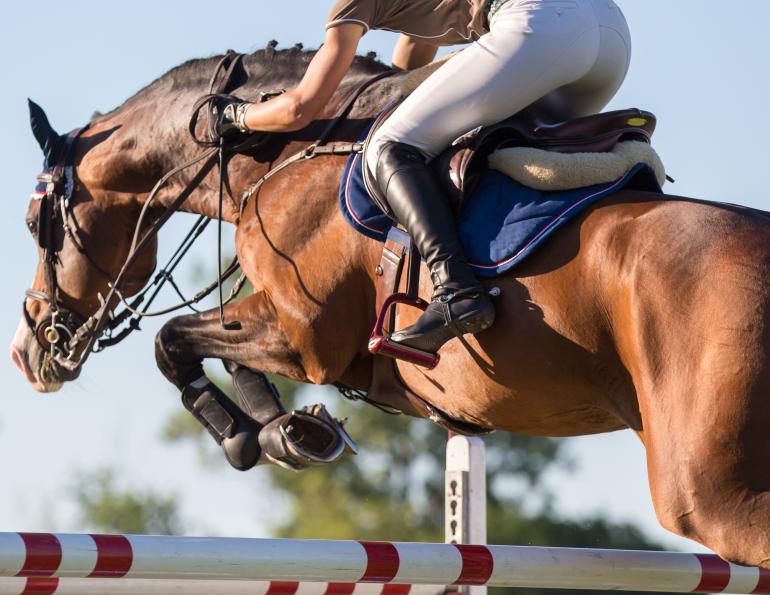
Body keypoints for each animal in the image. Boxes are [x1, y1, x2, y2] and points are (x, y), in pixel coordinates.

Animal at [10, 46, 770, 567]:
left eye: (33, 222)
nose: (30, 352)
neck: (280, 155)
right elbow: (199, 345)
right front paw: (291, 431)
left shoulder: (302, 334)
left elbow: (171, 342)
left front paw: (250, 437)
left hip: (708, 491)